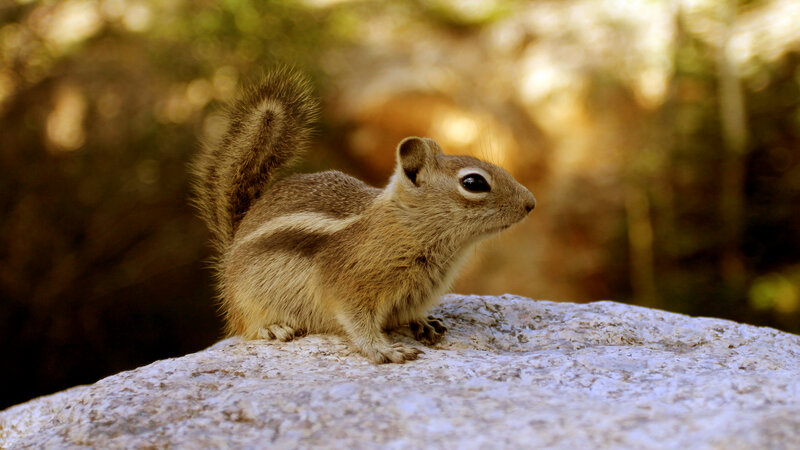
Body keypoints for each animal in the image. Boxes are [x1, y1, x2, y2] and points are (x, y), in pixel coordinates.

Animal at [191, 67, 536, 363]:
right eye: (474, 183)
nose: (531, 203)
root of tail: (231, 248)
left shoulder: (416, 293)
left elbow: (410, 314)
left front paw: (424, 322)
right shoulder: (350, 285)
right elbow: (357, 322)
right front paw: (384, 350)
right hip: (247, 300)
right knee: (246, 326)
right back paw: (271, 327)